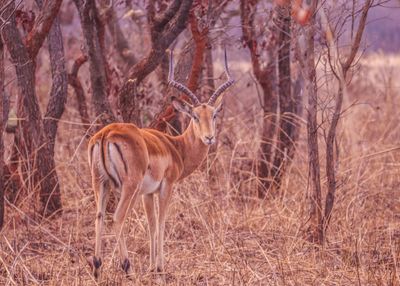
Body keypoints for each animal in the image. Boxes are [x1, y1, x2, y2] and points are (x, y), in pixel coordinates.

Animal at [86, 49, 234, 280]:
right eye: (194, 116)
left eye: (214, 115)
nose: (209, 138)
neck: (176, 148)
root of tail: (105, 134)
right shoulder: (167, 186)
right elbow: (162, 222)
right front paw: (160, 267)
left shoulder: (148, 193)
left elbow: (151, 224)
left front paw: (151, 266)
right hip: (129, 187)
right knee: (117, 218)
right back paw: (127, 268)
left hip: (100, 183)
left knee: (99, 217)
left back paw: (97, 268)